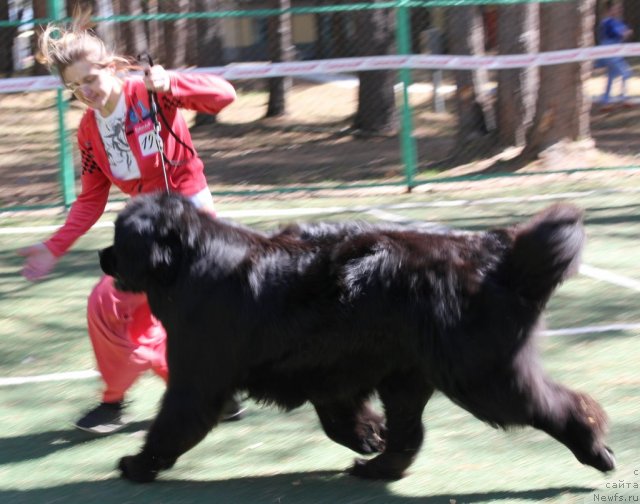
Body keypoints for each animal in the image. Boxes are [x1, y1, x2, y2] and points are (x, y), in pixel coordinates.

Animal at [99, 191, 616, 482]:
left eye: (121, 237)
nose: (103, 255)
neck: (189, 264)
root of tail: (496, 256)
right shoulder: (329, 370)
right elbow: (341, 418)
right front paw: (370, 437)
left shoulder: (199, 376)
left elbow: (174, 422)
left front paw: (138, 465)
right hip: (410, 374)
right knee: (410, 431)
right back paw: (378, 468)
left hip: (479, 375)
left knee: (558, 405)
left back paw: (594, 449)